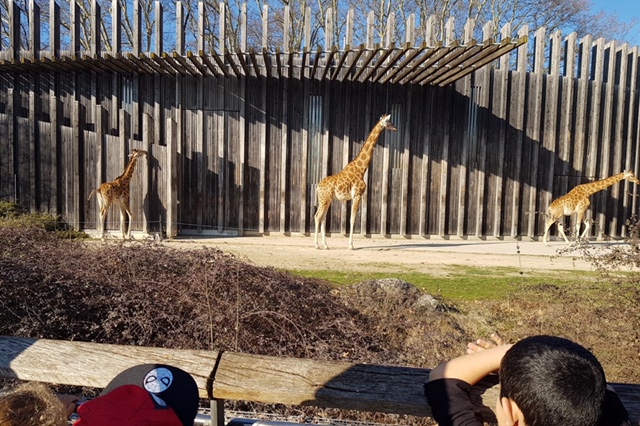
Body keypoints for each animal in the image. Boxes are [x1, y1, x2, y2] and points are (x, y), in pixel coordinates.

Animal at [314, 114, 397, 250]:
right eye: (389, 122)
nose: (395, 128)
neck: (362, 169)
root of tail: (317, 187)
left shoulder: (356, 196)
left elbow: (352, 219)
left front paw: (350, 244)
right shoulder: (357, 195)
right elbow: (352, 219)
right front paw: (351, 245)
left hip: (327, 200)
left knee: (322, 218)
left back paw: (325, 245)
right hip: (324, 199)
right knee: (317, 217)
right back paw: (316, 245)